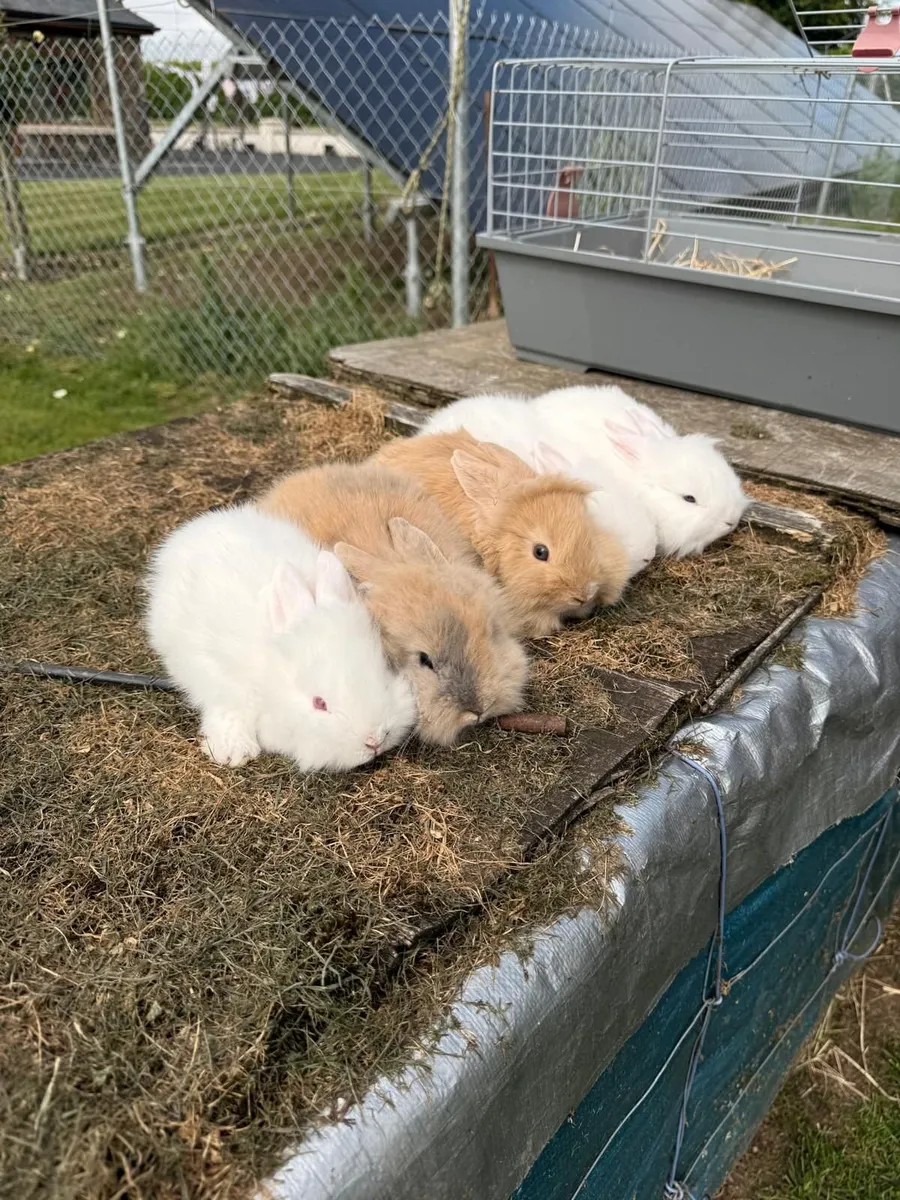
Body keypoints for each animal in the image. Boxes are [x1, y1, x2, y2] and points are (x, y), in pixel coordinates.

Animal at [144, 504, 416, 772]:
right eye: (319, 703)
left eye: (384, 675)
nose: (374, 740)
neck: (271, 677)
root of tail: (201, 524)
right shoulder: (221, 678)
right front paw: (233, 752)